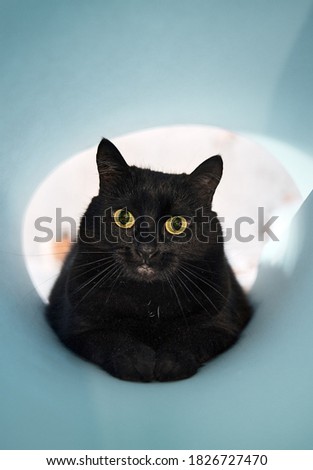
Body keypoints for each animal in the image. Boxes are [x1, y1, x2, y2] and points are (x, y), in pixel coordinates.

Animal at [47, 138, 251, 380]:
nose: (146, 249)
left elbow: (191, 337)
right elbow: (109, 337)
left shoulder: (222, 325)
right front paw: (135, 361)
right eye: (123, 217)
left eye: (177, 224)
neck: (148, 303)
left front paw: (171, 363)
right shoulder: (77, 326)